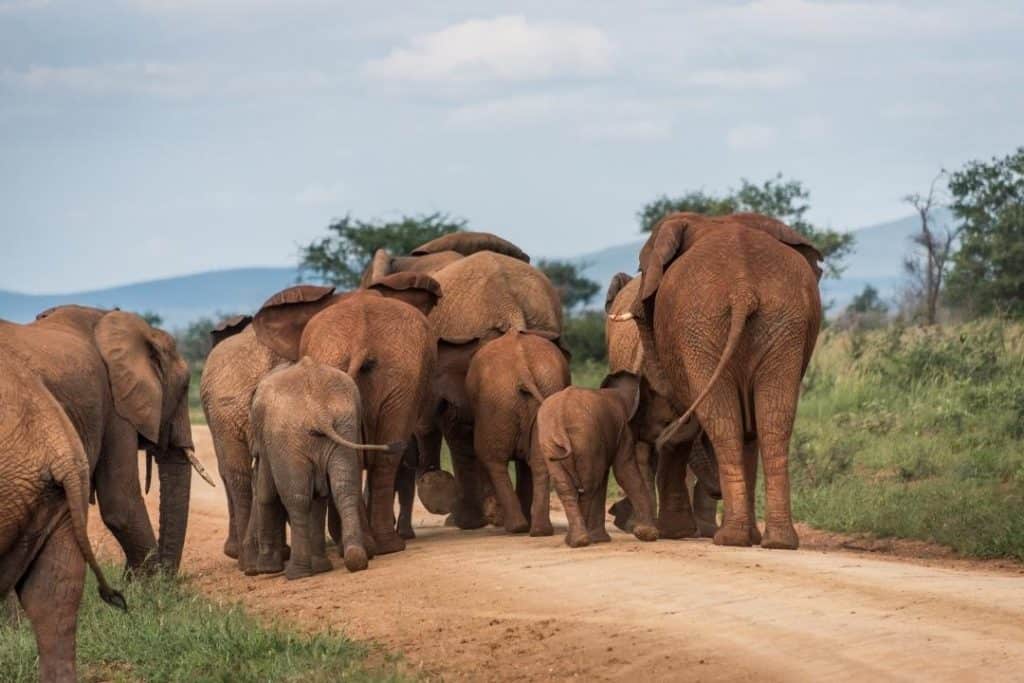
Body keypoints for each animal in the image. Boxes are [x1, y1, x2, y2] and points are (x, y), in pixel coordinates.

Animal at [249, 357, 404, 579]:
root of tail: (319, 412)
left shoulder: (266, 438)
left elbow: (266, 492)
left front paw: (267, 569)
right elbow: (319, 495)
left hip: (290, 441)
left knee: (297, 499)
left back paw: (297, 574)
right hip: (344, 427)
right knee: (344, 489)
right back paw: (354, 559)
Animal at [459, 329, 570, 535]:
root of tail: (523, 369)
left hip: (496, 404)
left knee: (492, 460)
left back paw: (515, 527)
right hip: (542, 390)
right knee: (539, 461)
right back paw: (539, 530)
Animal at [534, 371, 660, 548]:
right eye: (654, 397)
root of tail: (560, 417)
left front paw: (601, 539)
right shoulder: (623, 430)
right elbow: (624, 472)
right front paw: (648, 534)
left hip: (550, 443)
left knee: (566, 487)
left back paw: (573, 541)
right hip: (585, 438)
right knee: (589, 486)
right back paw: (582, 540)